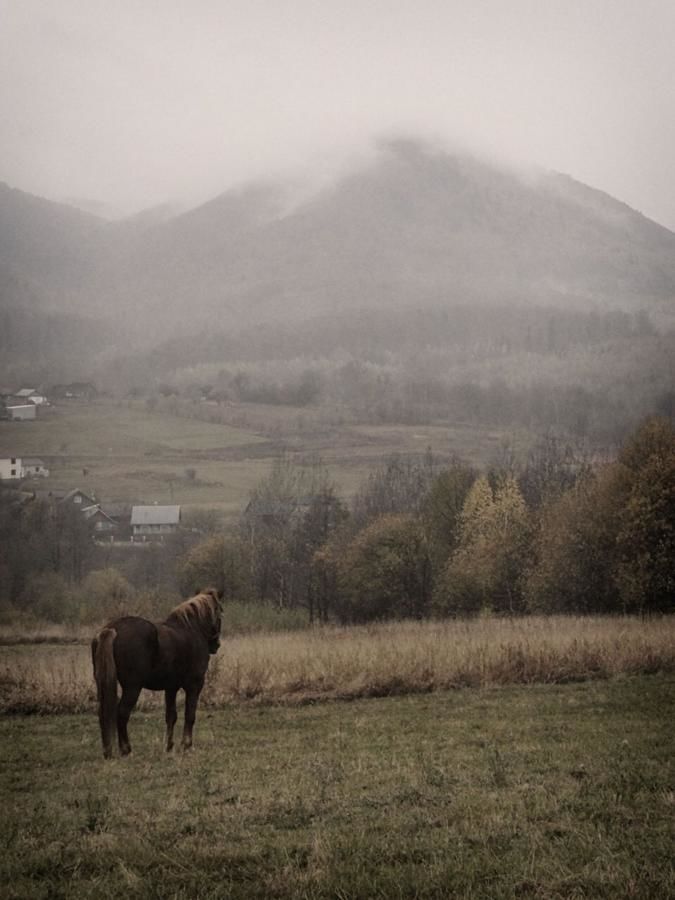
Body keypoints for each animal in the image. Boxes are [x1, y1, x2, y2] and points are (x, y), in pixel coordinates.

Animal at [90, 588, 220, 756]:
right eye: (220, 610)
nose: (216, 645)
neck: (192, 629)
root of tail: (111, 629)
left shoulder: (171, 687)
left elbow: (171, 716)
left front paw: (169, 746)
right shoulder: (195, 685)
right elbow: (189, 714)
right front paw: (186, 744)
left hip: (102, 684)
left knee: (104, 713)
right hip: (132, 688)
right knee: (122, 713)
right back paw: (126, 749)